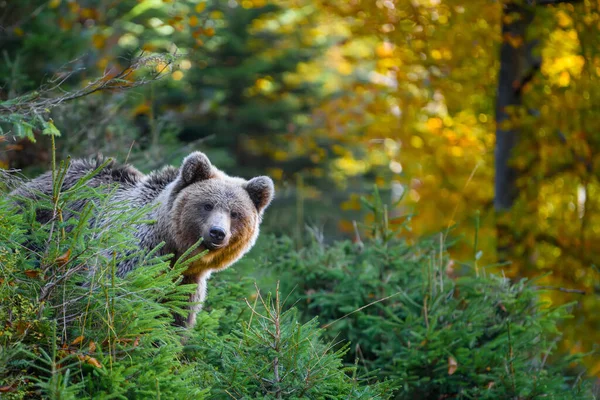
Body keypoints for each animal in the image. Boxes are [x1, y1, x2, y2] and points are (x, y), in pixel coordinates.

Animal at [11, 152, 274, 326]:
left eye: (235, 213)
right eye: (207, 205)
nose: (217, 232)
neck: (172, 247)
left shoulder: (185, 282)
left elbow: (174, 318)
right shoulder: (134, 255)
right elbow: (117, 299)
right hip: (38, 223)